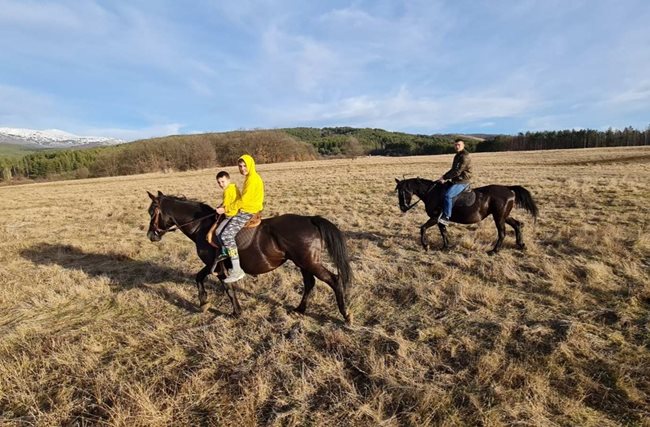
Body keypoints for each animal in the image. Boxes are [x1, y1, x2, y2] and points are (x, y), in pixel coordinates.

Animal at [146, 191, 352, 324]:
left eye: (151, 211)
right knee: (310, 283)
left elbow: (228, 289)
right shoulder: (213, 265)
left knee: (334, 280)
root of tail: (310, 219)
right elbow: (199, 277)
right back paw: (300, 310)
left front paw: (236, 312)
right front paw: (204, 303)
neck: (202, 226)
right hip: (303, 263)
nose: (150, 235)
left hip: (309, 262)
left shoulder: (217, 267)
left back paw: (345, 315)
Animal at [394, 178, 536, 254]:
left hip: (499, 217)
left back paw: (494, 251)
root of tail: (509, 189)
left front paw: (425, 246)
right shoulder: (440, 220)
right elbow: (443, 232)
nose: (403, 208)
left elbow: (423, 228)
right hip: (504, 216)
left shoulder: (435, 218)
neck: (432, 193)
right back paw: (521, 245)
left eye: (403, 191)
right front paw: (446, 247)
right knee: (517, 225)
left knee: (502, 233)